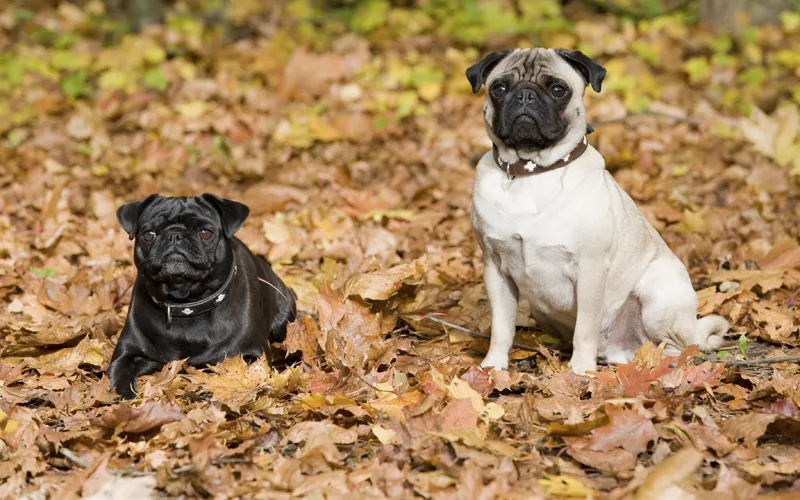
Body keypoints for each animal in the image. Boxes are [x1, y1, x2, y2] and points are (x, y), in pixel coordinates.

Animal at [105, 192, 294, 398]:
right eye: (148, 234)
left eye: (205, 233)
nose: (175, 235)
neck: (186, 303)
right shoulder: (127, 354)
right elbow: (119, 373)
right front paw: (125, 394)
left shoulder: (252, 354)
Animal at [466, 47, 728, 376]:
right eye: (499, 88)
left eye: (558, 90)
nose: (525, 95)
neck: (532, 170)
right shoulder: (495, 268)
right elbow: (501, 328)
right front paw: (493, 366)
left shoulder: (590, 270)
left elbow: (585, 329)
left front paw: (579, 371)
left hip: (659, 298)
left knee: (679, 346)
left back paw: (661, 364)